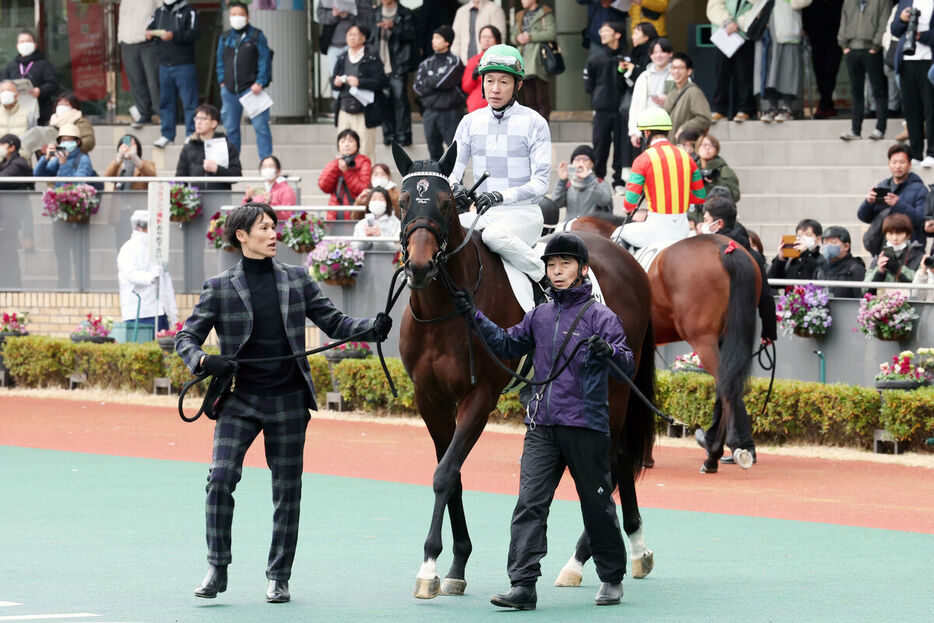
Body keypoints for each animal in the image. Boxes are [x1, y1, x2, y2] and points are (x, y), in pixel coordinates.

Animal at [394, 144, 660, 604]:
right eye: (404, 200)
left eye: (445, 203)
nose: (423, 265)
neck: (444, 312)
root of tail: (626, 257)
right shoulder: (430, 399)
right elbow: (452, 474)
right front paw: (456, 566)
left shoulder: (479, 397)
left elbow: (444, 474)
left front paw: (428, 567)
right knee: (620, 458)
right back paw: (632, 549)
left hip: (615, 384)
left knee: (611, 457)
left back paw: (585, 558)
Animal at [576, 214, 764, 472]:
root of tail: (725, 248)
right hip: (727, 337)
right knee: (730, 385)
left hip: (703, 339)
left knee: (726, 386)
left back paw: (713, 456)